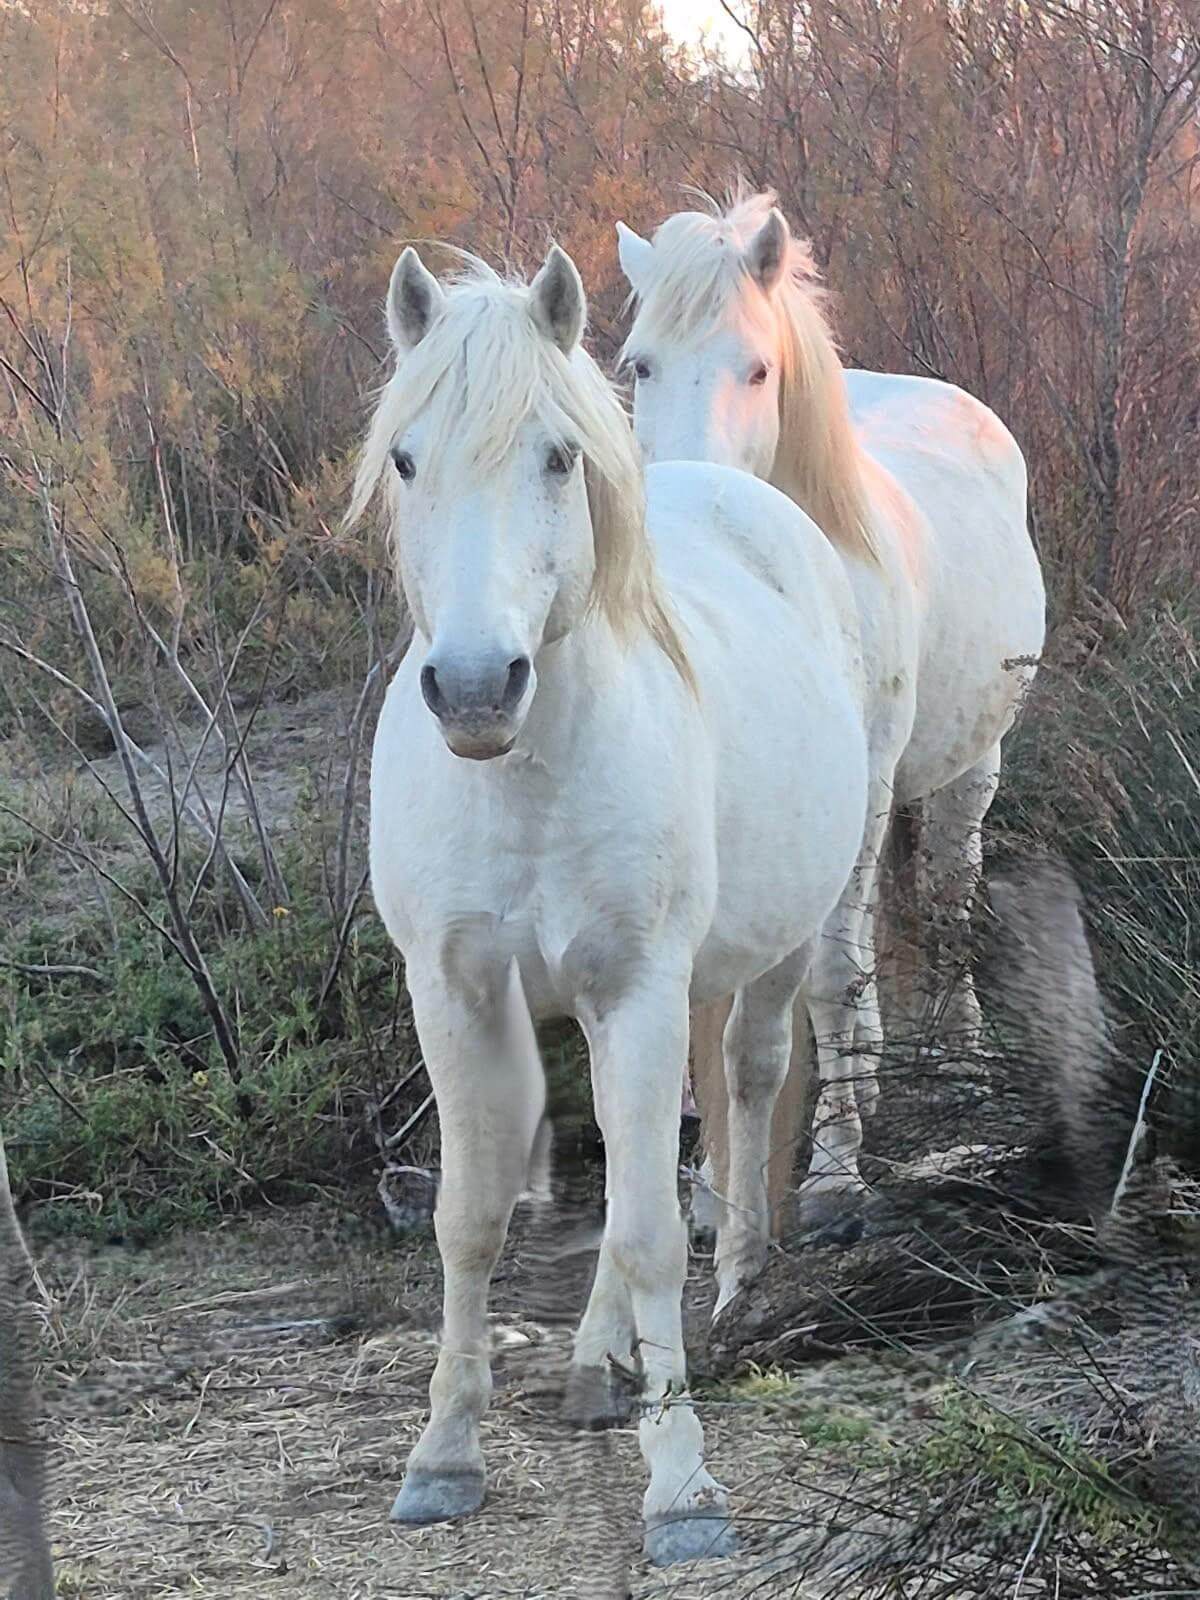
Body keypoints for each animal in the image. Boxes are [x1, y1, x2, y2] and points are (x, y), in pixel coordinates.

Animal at [349, 240, 872, 1563]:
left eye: (555, 454)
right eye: (406, 458)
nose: (475, 687)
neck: (526, 776)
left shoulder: (636, 985)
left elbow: (645, 1229)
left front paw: (682, 1488)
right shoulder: (459, 994)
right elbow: (473, 1218)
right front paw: (443, 1456)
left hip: (771, 952)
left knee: (742, 1081)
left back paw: (736, 1288)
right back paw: (598, 1365)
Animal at [616, 189, 1046, 1269]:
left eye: (757, 369)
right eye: (639, 363)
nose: (688, 502)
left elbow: (835, 977)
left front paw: (833, 1179)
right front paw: (713, 1197)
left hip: (970, 768)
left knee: (947, 895)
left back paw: (961, 1069)